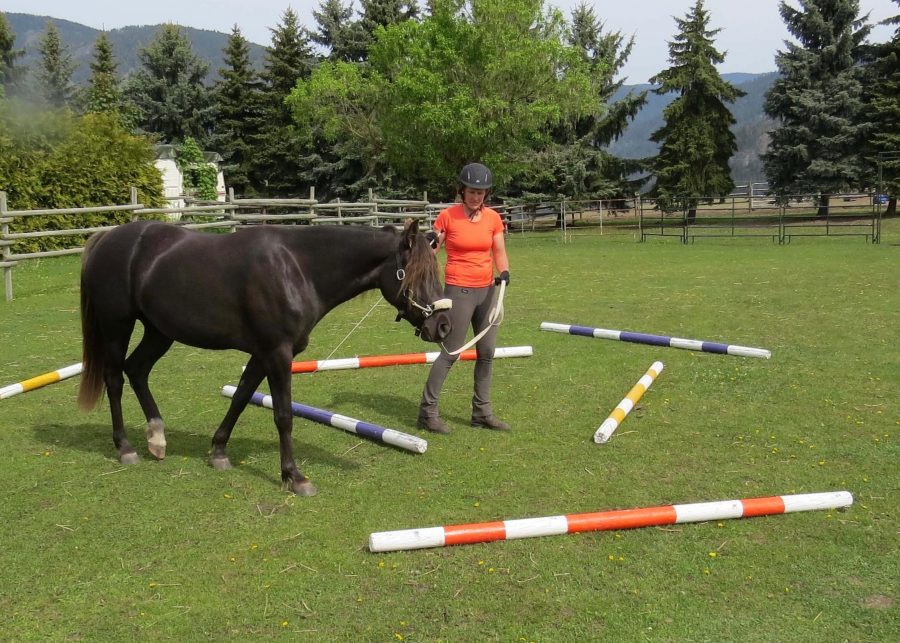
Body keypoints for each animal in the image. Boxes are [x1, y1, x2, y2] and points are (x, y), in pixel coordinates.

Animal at [78, 219, 451, 496]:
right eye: (417, 274)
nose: (444, 325)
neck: (298, 269)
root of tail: (108, 238)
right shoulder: (277, 354)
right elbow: (283, 415)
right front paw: (294, 477)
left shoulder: (261, 355)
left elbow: (241, 398)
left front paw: (218, 452)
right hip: (117, 326)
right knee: (115, 379)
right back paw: (125, 447)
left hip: (159, 332)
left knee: (137, 371)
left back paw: (157, 438)